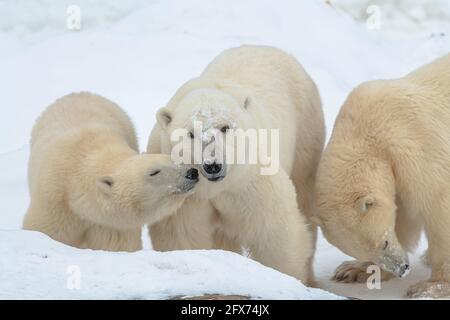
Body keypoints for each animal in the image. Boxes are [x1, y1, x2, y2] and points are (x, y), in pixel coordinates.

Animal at [23, 92, 198, 252]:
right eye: (154, 172)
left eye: (171, 159)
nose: (192, 173)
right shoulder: (54, 201)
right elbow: (45, 229)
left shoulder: (111, 224)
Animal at [148, 45, 326, 282]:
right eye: (190, 133)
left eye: (225, 127)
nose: (213, 165)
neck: (216, 188)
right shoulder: (185, 194)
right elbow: (182, 235)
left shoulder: (250, 181)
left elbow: (275, 234)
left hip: (305, 129)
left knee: (304, 192)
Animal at [312, 54, 450, 298]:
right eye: (365, 252)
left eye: (384, 242)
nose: (403, 268)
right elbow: (402, 212)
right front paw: (354, 270)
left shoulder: (418, 147)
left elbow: (438, 207)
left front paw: (429, 286)